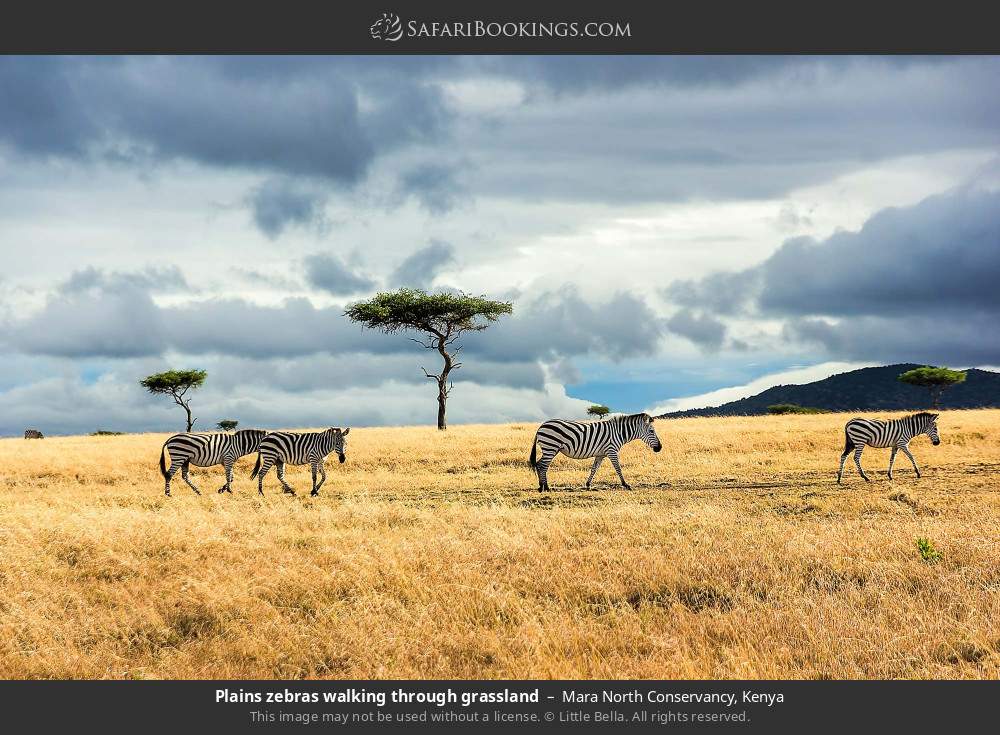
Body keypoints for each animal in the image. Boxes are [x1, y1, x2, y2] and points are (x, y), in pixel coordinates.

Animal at [529, 413, 662, 492]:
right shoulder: (611, 450)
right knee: (543, 466)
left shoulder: (600, 454)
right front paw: (626, 485)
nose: (659, 448)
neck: (619, 433)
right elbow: (618, 468)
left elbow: (594, 469)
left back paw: (541, 486)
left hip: (551, 449)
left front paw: (588, 484)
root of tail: (541, 426)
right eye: (651, 431)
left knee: (539, 464)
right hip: (550, 447)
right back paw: (546, 487)